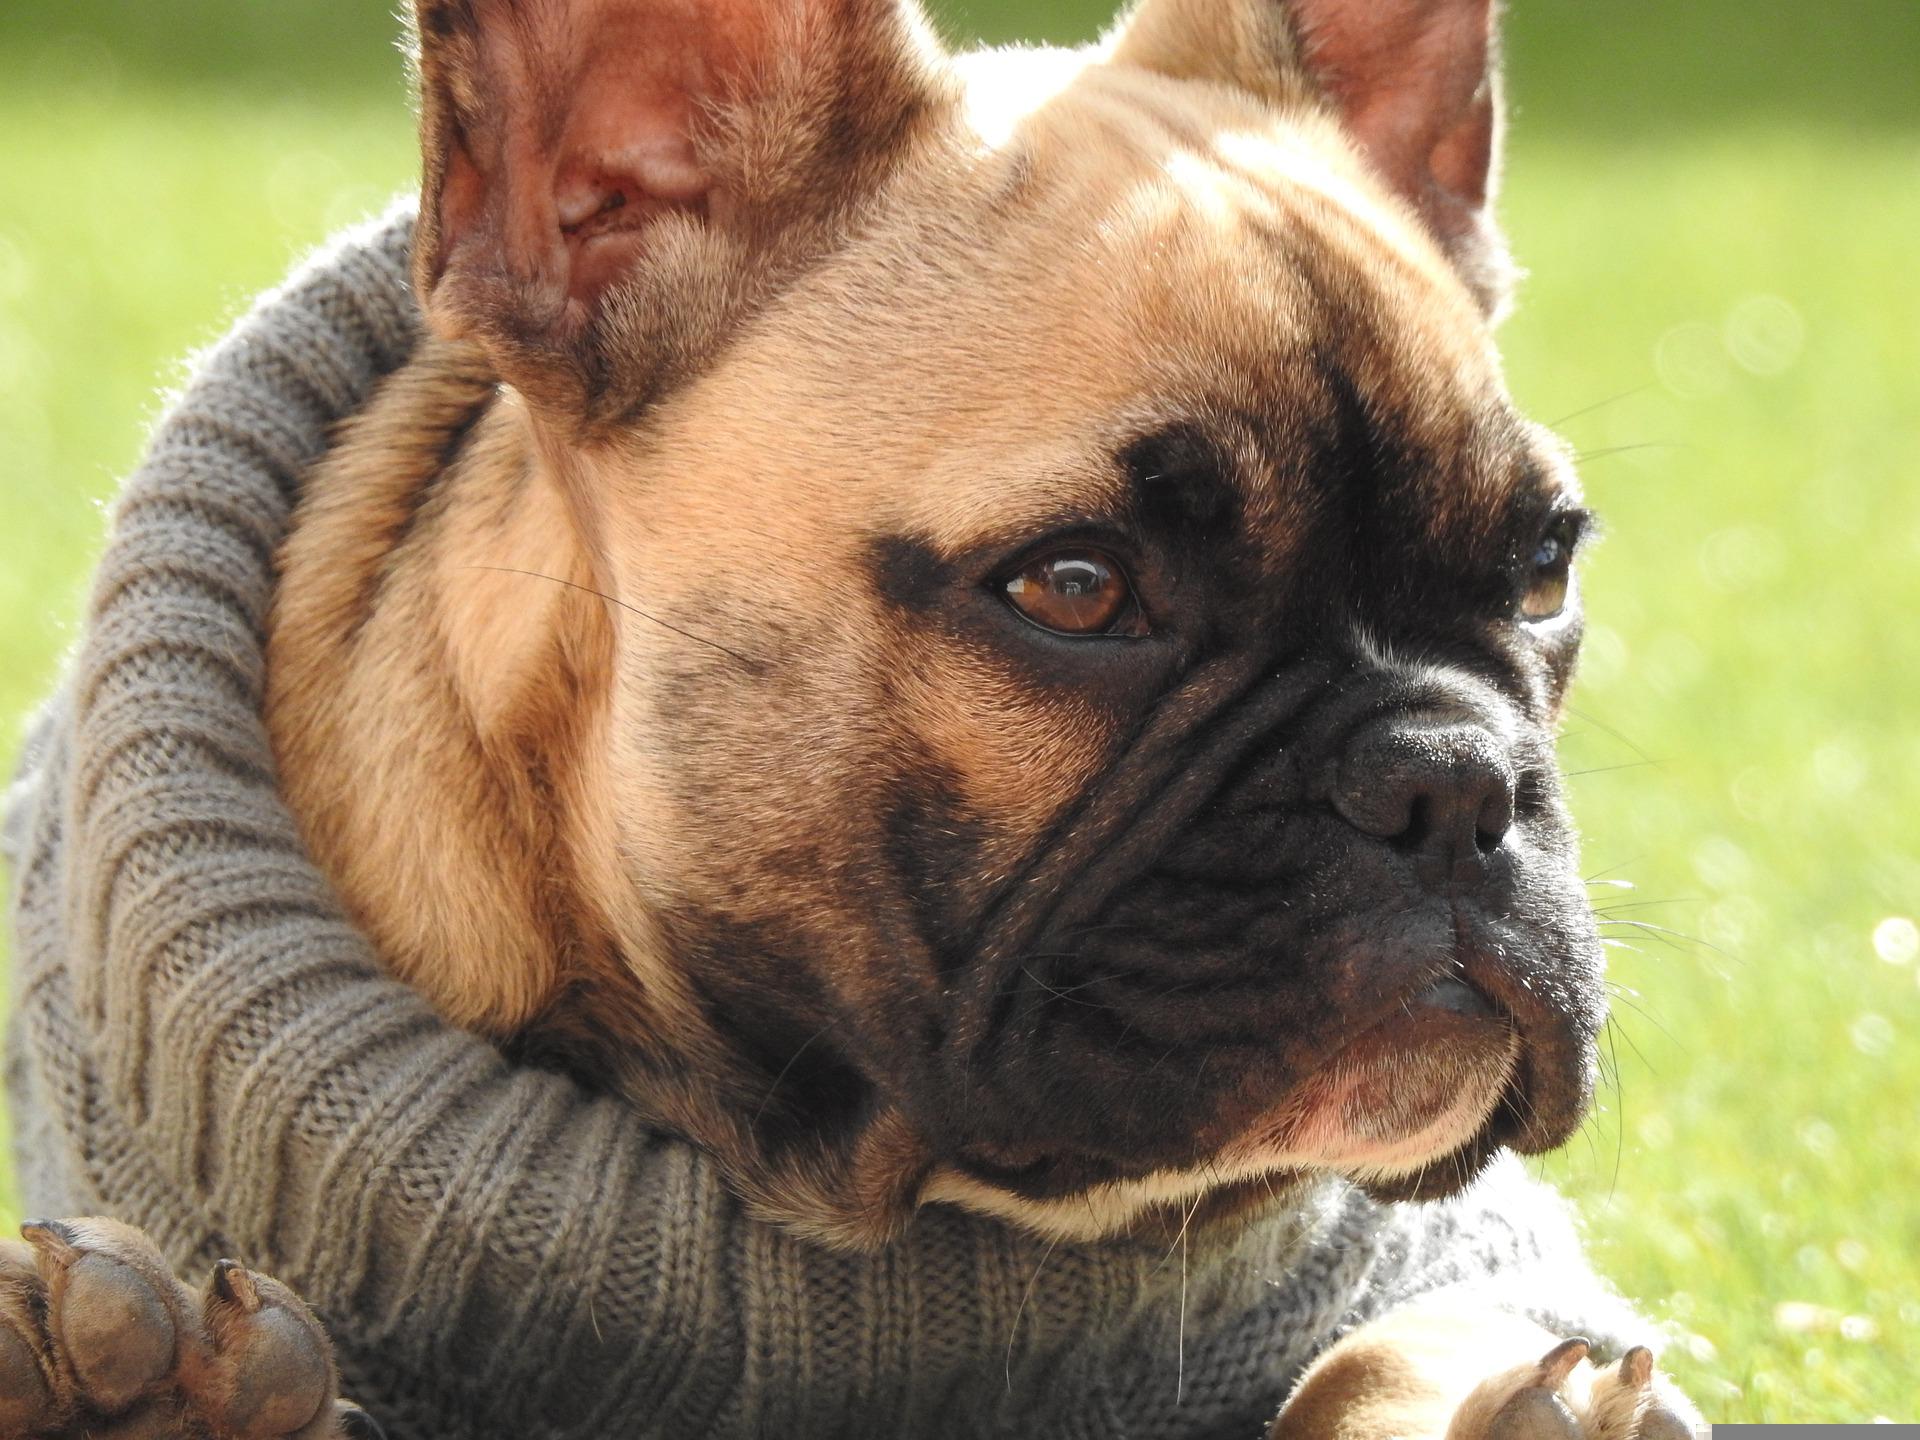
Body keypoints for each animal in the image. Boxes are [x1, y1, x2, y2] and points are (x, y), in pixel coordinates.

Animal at [3, 2, 1712, 1440]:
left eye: (1544, 567)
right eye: (1077, 588)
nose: (1453, 784)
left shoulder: (1439, 1263)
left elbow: (1423, 1339)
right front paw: (139, 1395)